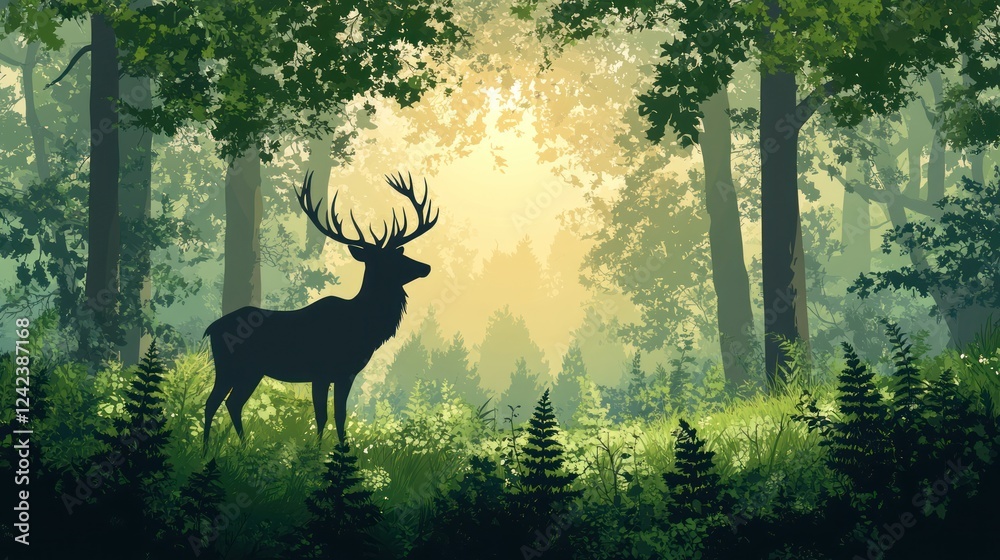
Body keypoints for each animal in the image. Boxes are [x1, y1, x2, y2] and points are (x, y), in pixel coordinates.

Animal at [202, 171, 438, 451]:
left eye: (399, 253)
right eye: (390, 259)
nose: (425, 267)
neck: (364, 326)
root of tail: (210, 329)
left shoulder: (346, 374)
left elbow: (340, 414)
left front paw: (342, 450)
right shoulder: (321, 372)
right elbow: (322, 415)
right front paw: (315, 452)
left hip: (251, 371)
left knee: (232, 402)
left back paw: (243, 446)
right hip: (229, 366)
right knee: (212, 402)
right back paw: (205, 450)